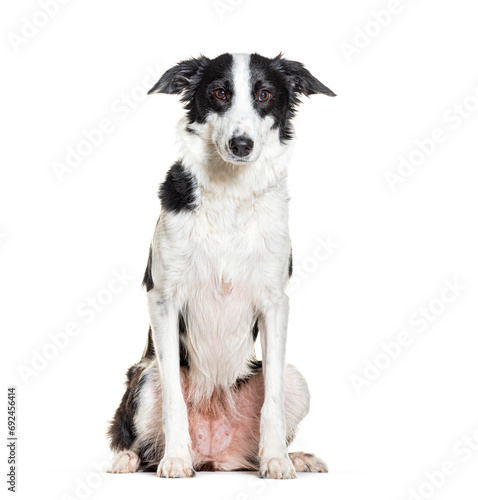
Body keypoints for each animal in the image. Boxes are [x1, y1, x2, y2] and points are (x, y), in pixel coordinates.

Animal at [106, 52, 334, 478]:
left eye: (264, 94)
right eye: (218, 93)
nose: (240, 144)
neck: (231, 192)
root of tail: (214, 456)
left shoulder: (275, 303)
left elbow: (272, 400)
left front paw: (277, 459)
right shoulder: (163, 301)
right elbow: (174, 401)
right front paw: (176, 459)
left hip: (295, 381)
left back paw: (293, 455)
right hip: (144, 376)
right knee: (138, 441)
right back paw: (131, 457)